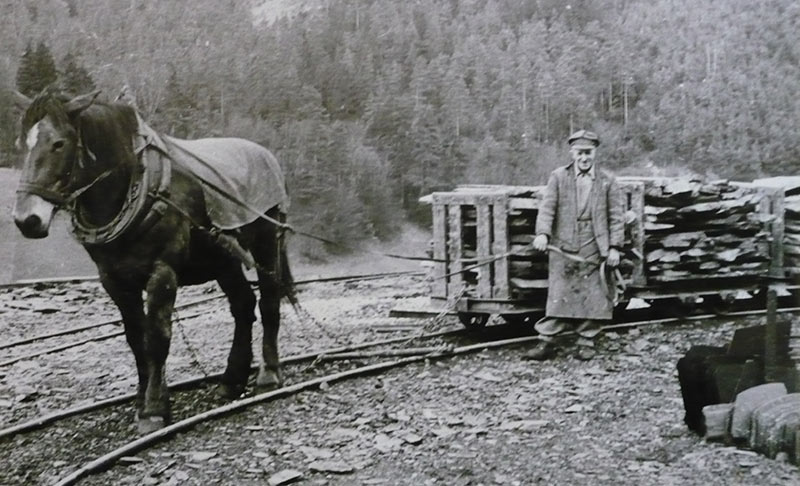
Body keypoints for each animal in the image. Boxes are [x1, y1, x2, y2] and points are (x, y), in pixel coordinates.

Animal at [10, 87, 294, 432]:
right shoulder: (114, 280)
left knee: (268, 301)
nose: (27, 220)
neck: (138, 183)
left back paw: (269, 374)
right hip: (223, 259)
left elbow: (157, 338)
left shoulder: (163, 272)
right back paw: (232, 380)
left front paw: (154, 409)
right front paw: (141, 400)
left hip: (267, 238)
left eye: (59, 143)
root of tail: (265, 155)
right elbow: (136, 339)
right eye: (21, 145)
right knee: (242, 305)